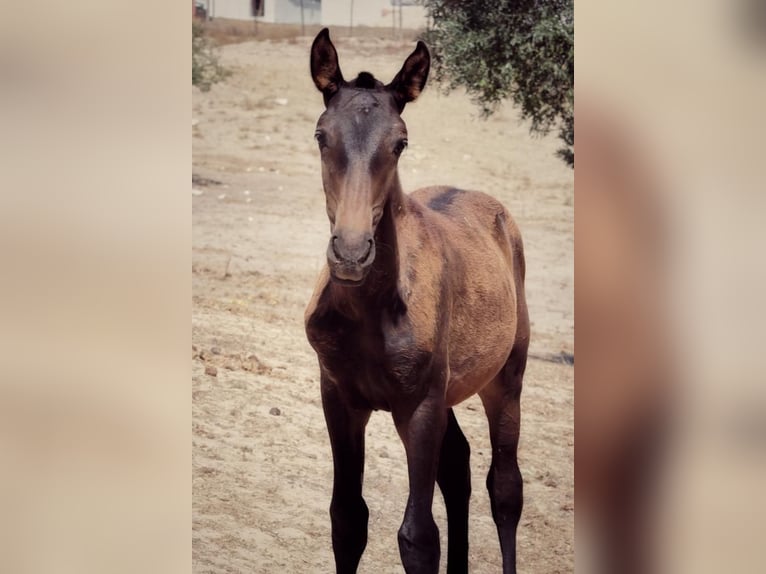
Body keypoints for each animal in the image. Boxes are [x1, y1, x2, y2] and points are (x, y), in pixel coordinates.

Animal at [304, 30, 532, 574]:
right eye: (322, 136)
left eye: (400, 143)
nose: (350, 253)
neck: (370, 312)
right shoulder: (339, 397)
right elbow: (347, 518)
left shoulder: (421, 406)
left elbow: (418, 537)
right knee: (458, 467)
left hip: (505, 379)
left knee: (505, 487)